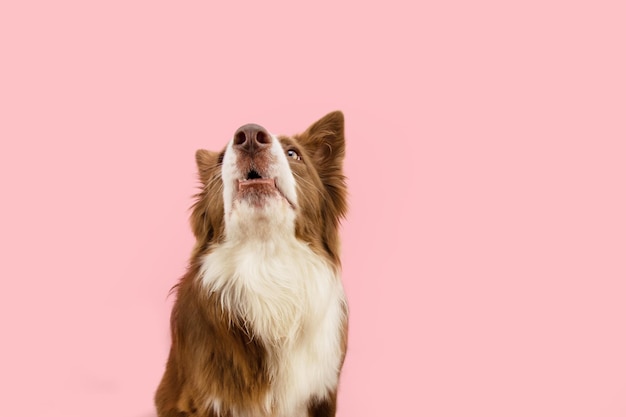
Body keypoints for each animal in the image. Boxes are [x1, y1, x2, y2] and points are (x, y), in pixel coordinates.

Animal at [154, 111, 348, 416]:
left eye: (293, 153)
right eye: (221, 159)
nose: (250, 136)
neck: (266, 260)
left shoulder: (323, 393)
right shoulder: (203, 398)